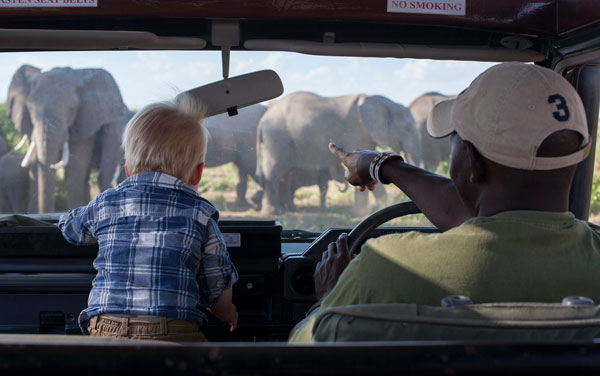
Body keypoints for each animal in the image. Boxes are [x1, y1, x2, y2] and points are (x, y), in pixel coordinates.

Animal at [256, 91, 418, 214]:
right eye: (408, 129)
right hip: (276, 139)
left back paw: (290, 209)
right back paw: (274, 212)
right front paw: (369, 210)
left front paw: (377, 208)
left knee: (285, 174)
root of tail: (262, 121)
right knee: (274, 171)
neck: (383, 101)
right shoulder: (356, 130)